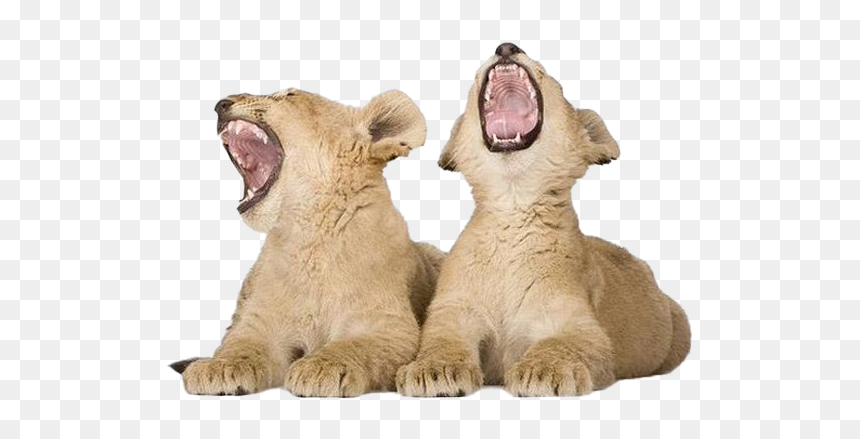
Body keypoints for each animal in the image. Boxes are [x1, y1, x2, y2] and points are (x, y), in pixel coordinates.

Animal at [170, 88, 445, 397]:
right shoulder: (259, 323)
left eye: (290, 95)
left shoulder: (391, 326)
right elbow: (240, 344)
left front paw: (321, 368)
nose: (221, 104)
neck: (307, 236)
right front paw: (220, 366)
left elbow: (354, 346)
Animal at [396, 43, 691, 397]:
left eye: (553, 80)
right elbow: (440, 342)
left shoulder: (580, 324)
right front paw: (434, 370)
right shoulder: (451, 312)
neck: (512, 207)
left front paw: (543, 372)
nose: (506, 47)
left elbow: (563, 344)